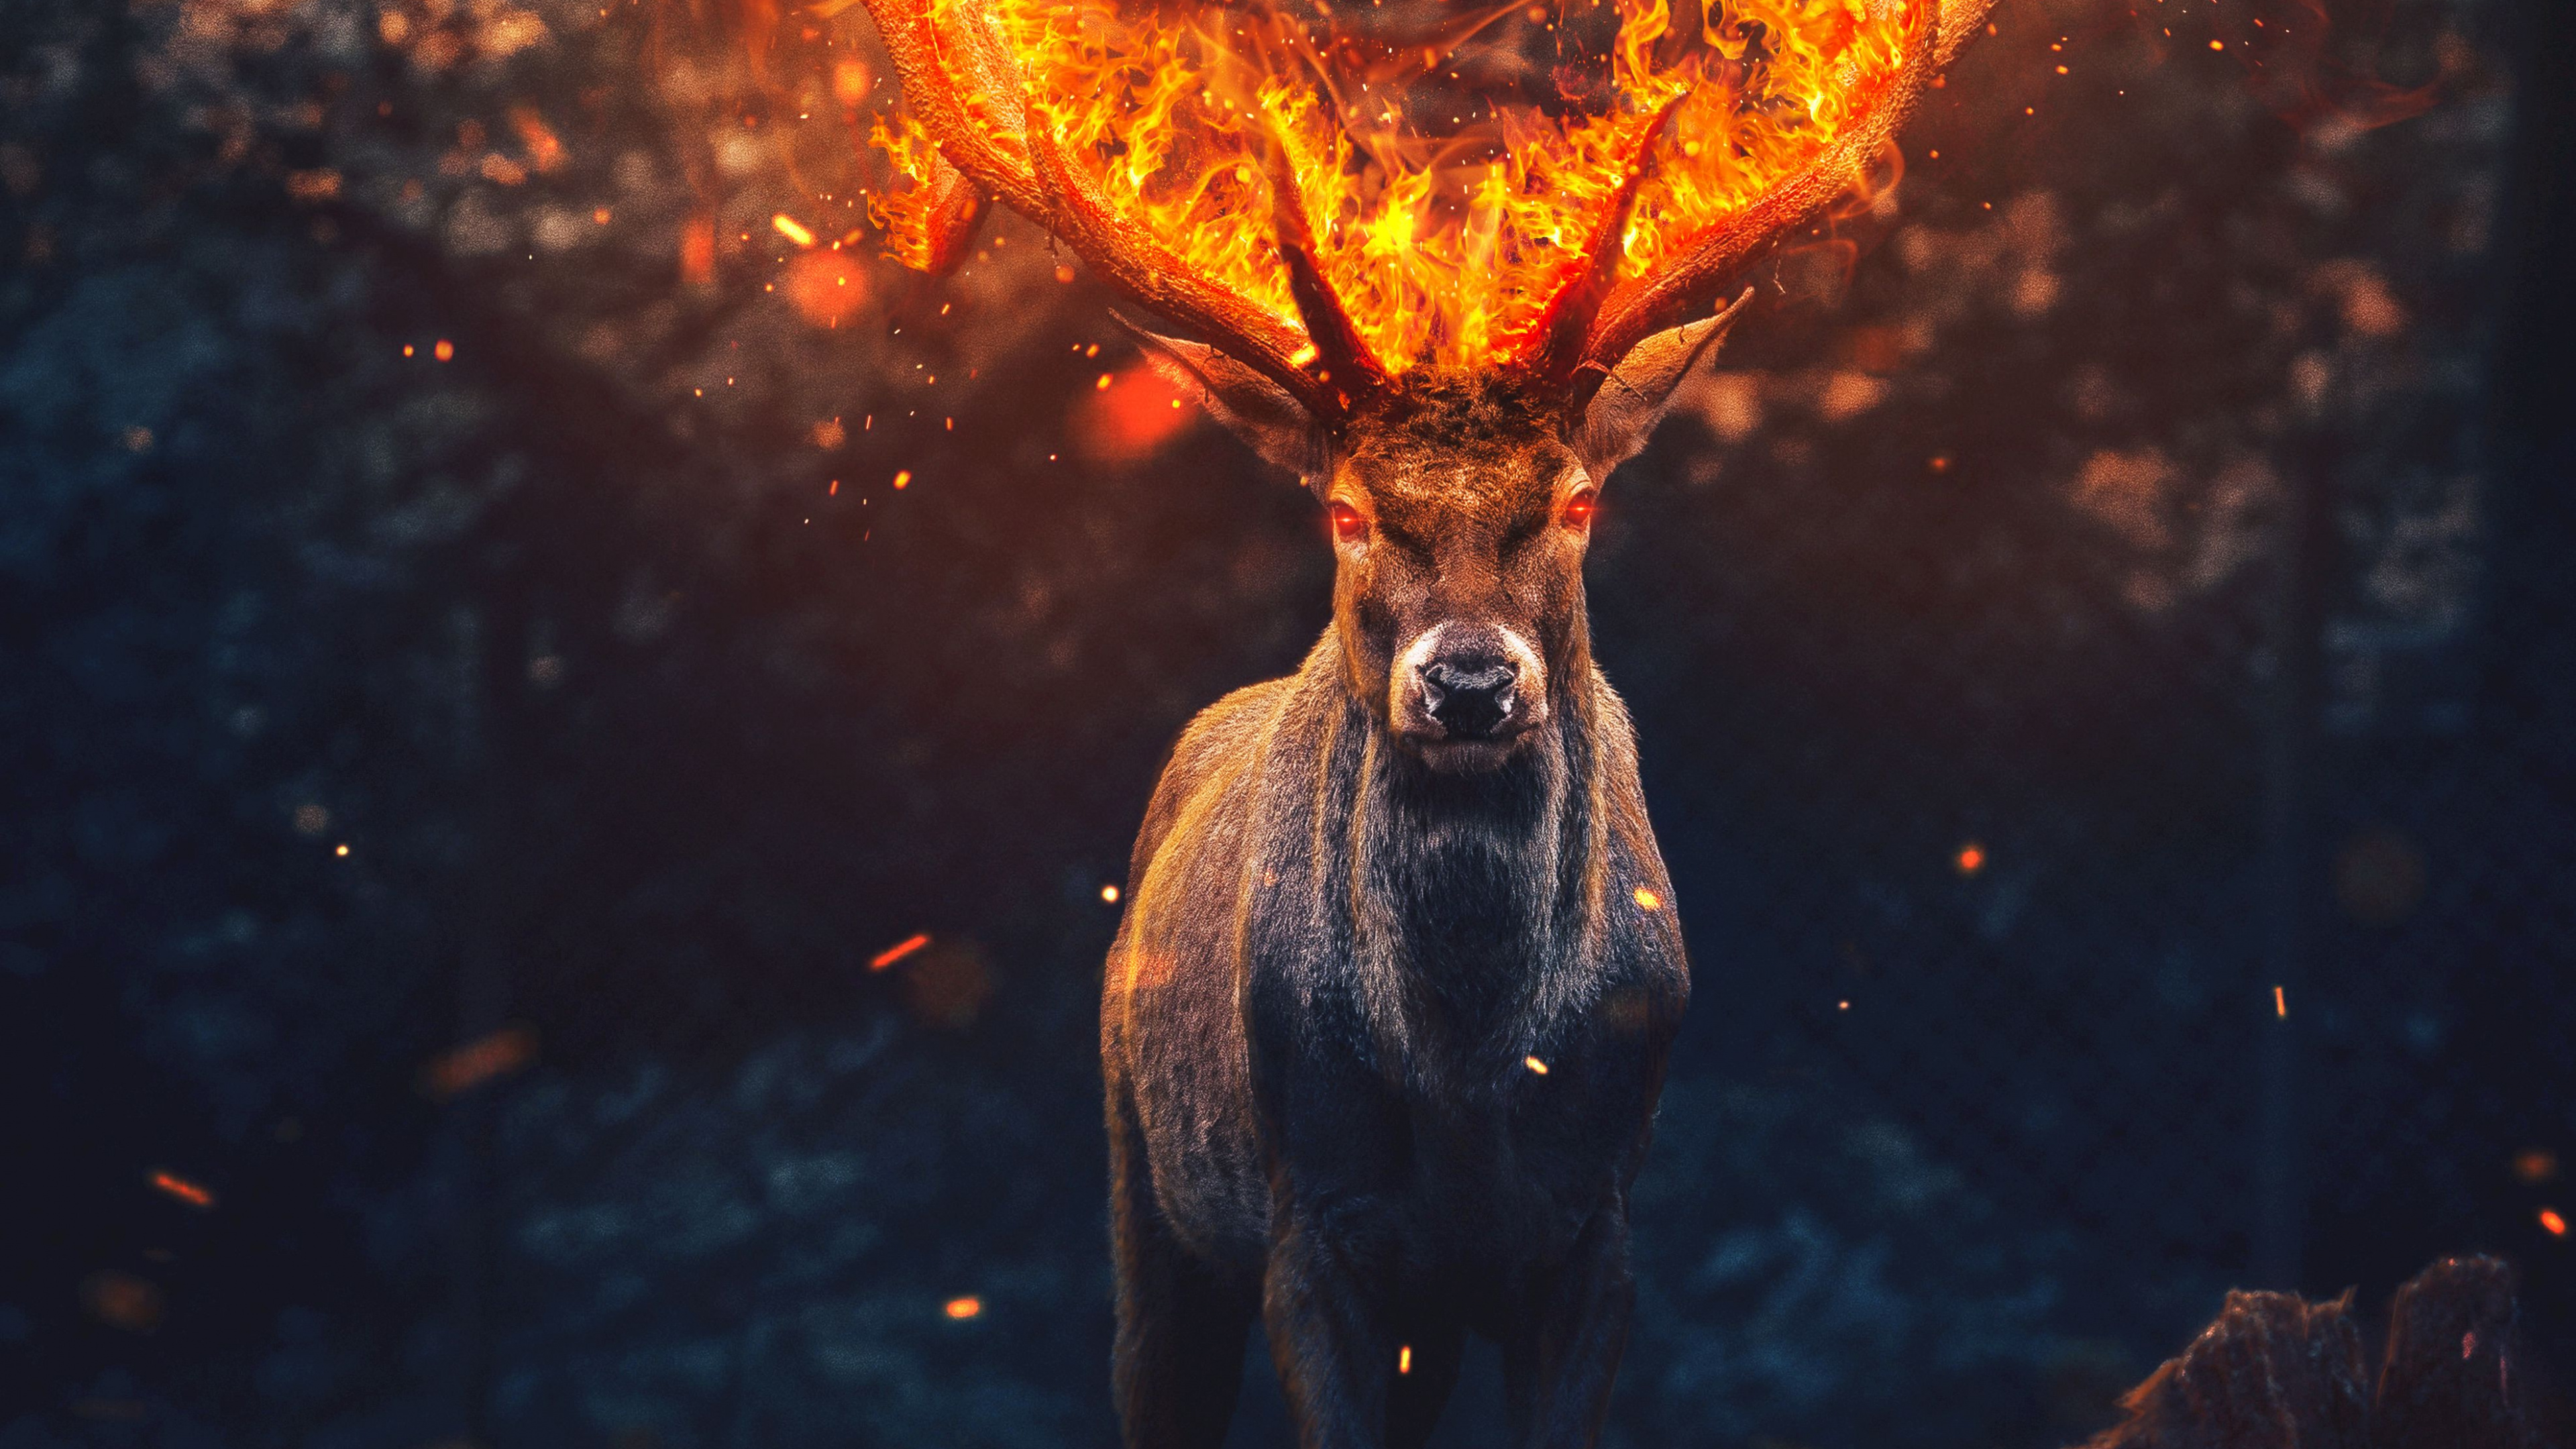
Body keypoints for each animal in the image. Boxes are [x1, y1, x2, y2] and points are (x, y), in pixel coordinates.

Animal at [850, 0, 1993, 1443]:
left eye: (1575, 500)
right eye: (1346, 510)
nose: (1469, 683)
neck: (1468, 1079)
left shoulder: (1596, 1230)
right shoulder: (1313, 1222)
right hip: (1144, 1182)